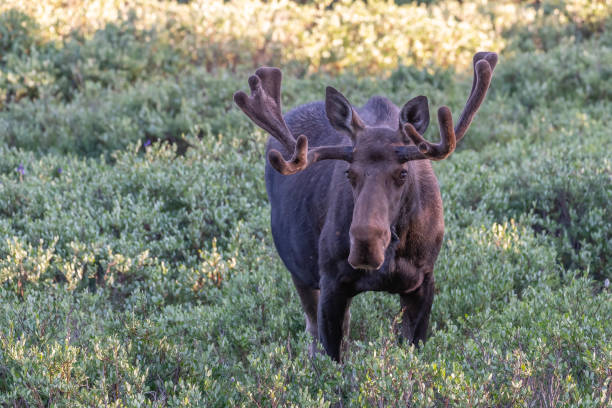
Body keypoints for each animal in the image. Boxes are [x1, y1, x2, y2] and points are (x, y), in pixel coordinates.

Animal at [234, 52, 498, 362]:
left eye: (403, 173)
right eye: (350, 173)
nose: (365, 246)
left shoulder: (424, 281)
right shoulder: (332, 282)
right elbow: (333, 358)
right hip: (300, 272)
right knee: (312, 333)